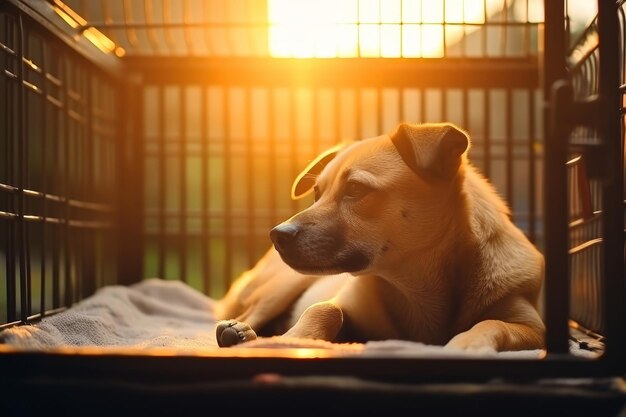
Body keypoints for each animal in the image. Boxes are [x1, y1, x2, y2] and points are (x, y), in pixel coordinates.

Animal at [213, 122, 540, 350]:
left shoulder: (532, 327)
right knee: (251, 313)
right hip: (281, 286)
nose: (277, 235)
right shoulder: (348, 304)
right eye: (317, 193)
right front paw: (296, 338)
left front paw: (468, 342)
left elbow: (492, 323)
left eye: (356, 189)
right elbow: (324, 309)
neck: (414, 284)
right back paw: (241, 332)